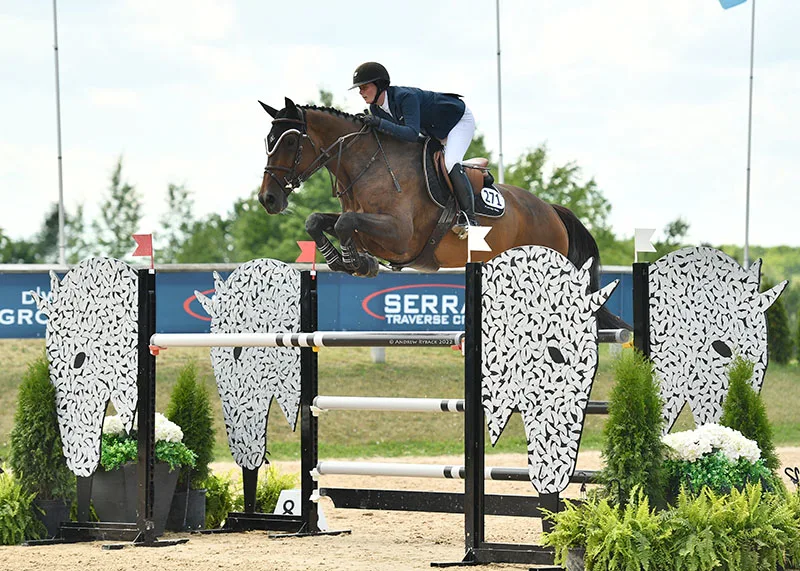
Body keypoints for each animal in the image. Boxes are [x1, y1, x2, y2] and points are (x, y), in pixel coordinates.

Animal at [260, 97, 628, 330]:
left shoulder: (400, 237)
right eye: (268, 140)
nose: (268, 199)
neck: (369, 166)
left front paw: (357, 262)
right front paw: (345, 260)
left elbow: (347, 224)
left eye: (290, 142)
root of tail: (551, 210)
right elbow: (318, 221)